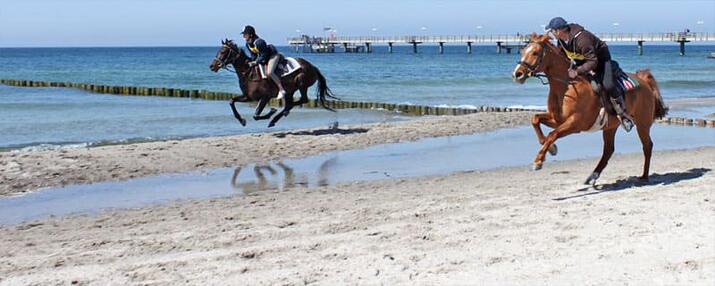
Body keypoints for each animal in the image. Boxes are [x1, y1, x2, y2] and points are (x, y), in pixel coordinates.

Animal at [210, 38, 338, 127]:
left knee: (302, 100)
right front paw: (242, 121)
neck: (248, 73)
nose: (212, 66)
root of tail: (313, 67)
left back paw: (278, 116)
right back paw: (280, 115)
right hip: (291, 90)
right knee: (291, 103)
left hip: (302, 83)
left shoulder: (264, 97)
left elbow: (256, 115)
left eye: (223, 51)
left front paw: (271, 111)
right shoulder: (248, 97)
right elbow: (231, 101)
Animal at [512, 33, 668, 185]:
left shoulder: (575, 123)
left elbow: (552, 134)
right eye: (522, 51)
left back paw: (644, 176)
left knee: (647, 146)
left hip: (642, 124)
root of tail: (644, 81)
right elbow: (535, 120)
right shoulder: (557, 119)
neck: (567, 85)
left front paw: (538, 161)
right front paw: (551, 148)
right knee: (608, 150)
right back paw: (593, 176)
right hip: (610, 127)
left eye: (535, 53)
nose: (517, 74)